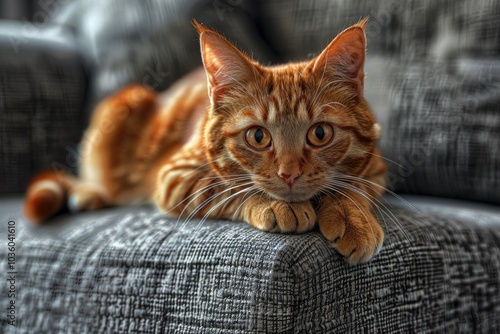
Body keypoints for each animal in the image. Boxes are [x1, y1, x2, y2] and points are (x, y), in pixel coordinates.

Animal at [24, 18, 386, 264]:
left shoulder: (377, 172)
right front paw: (276, 205)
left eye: (320, 134)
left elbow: (353, 187)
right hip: (124, 107)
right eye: (258, 136)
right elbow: (227, 189)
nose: (289, 174)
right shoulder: (175, 176)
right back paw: (88, 195)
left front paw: (353, 217)